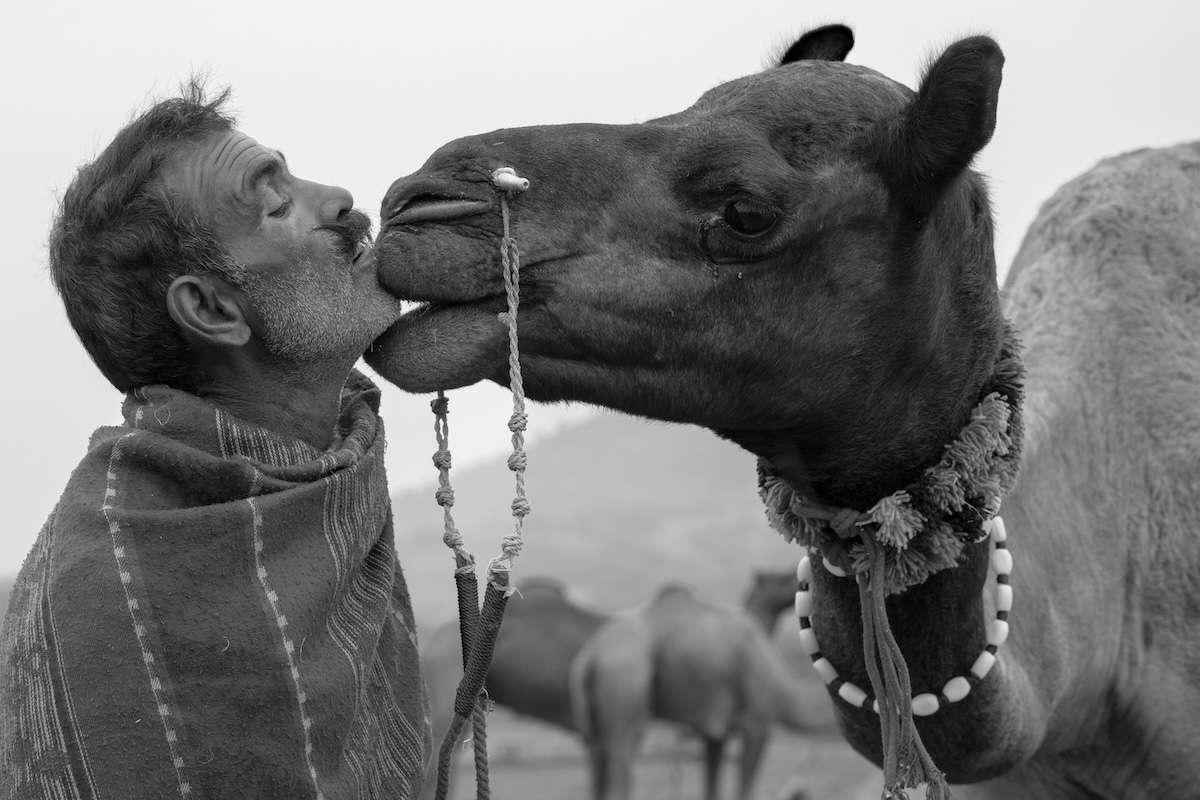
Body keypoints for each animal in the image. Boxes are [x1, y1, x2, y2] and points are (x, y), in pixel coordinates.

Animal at [569, 583, 829, 800]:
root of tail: (590, 656)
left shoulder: (714, 734)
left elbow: (712, 786)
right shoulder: (758, 723)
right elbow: (744, 788)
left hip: (594, 715)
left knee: (598, 763)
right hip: (625, 682)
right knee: (621, 760)